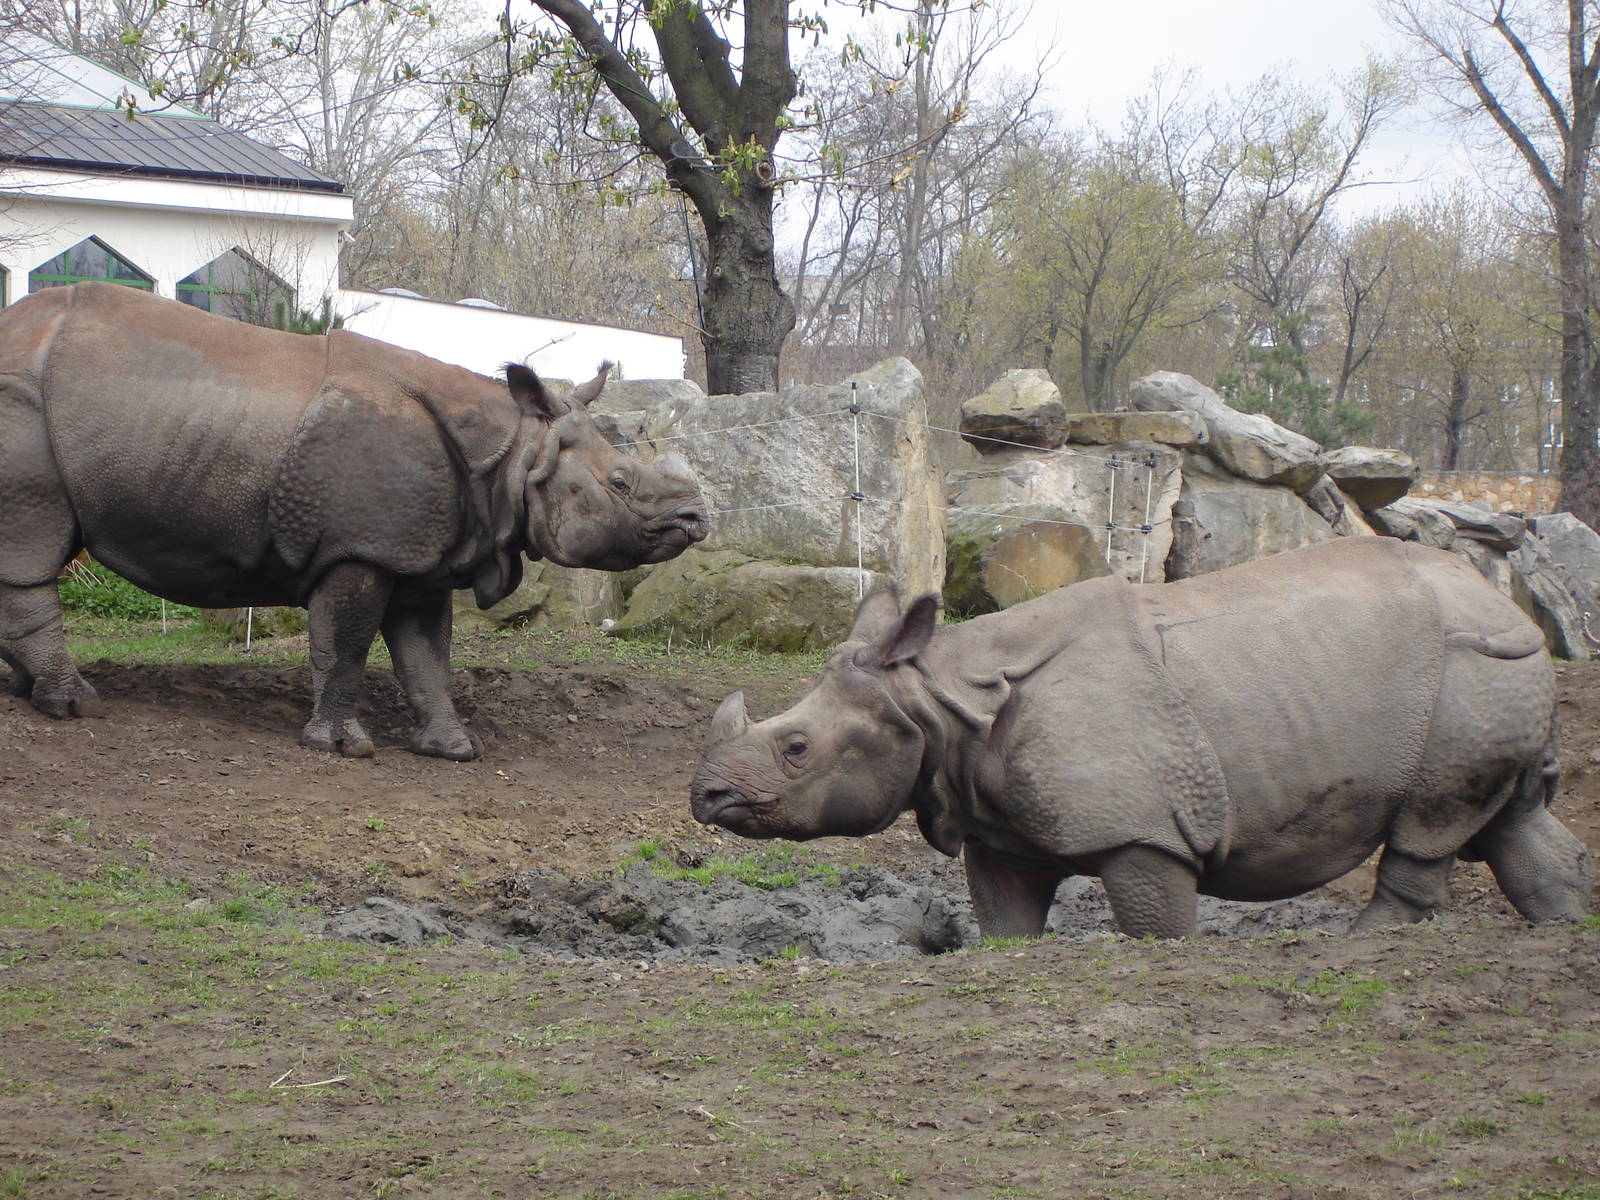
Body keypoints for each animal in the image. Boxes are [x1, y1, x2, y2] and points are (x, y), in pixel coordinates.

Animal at [0, 283, 708, 759]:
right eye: (621, 483)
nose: (696, 518)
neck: (512, 455)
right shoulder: (362, 548)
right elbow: (345, 644)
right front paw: (344, 748)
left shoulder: (423, 554)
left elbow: (427, 656)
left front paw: (452, 750)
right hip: (22, 403)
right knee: (31, 547)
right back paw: (74, 705)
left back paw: (23, 693)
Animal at [692, 538, 1595, 938]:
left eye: (796, 749)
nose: (704, 795)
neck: (935, 698)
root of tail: (1507, 602)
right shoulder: (998, 826)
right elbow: (1006, 920)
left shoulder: (1144, 829)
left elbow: (1155, 921)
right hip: (1488, 671)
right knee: (1508, 819)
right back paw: (1562, 932)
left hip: (1468, 666)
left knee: (1432, 820)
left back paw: (1362, 947)